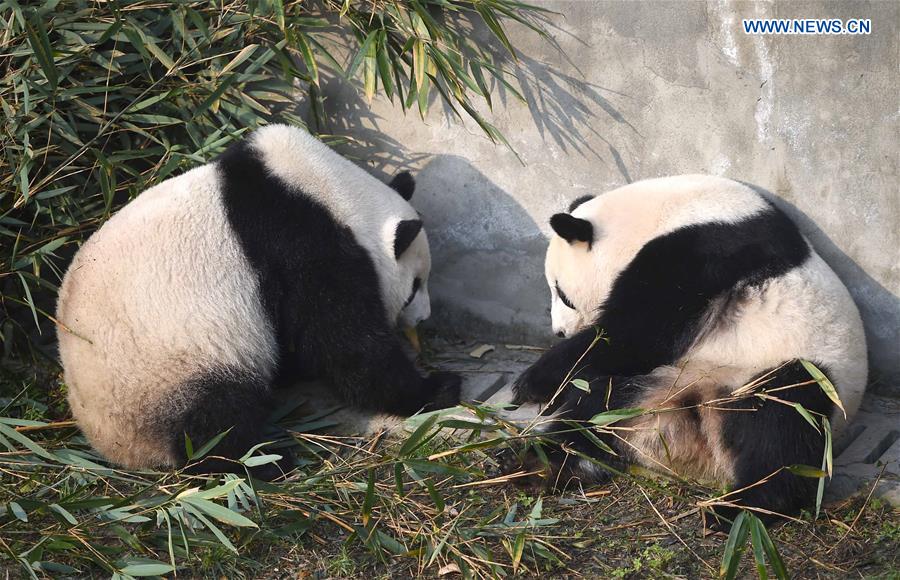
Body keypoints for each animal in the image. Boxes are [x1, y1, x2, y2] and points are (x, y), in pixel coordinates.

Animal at [56, 124, 461, 476]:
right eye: (415, 286)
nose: (424, 318)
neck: (330, 192)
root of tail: (115, 449)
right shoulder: (301, 246)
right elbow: (346, 346)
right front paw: (437, 388)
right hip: (173, 368)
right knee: (216, 422)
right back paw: (267, 462)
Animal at [506, 174, 867, 521]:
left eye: (563, 294)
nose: (560, 332)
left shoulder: (701, 251)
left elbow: (636, 335)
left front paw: (532, 381)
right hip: (655, 386)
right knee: (596, 407)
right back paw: (539, 465)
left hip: (787, 371)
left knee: (785, 421)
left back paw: (743, 507)